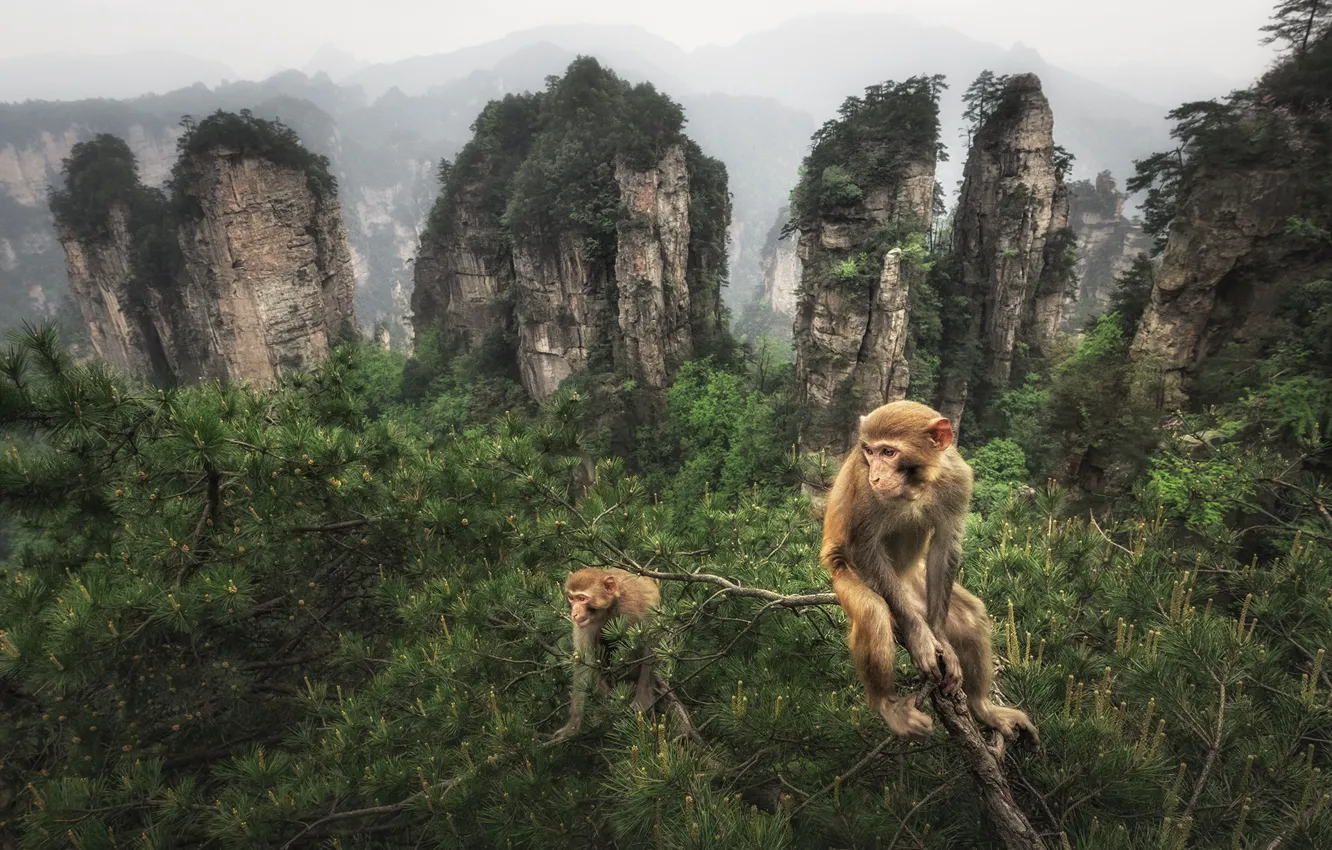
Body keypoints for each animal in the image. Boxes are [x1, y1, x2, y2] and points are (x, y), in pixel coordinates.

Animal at [551, 567, 661, 741]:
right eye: (571, 598)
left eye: (582, 598)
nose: (574, 613)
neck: (611, 606)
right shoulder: (586, 624)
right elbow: (583, 661)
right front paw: (573, 725)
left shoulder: (636, 608)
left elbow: (649, 645)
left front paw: (642, 700)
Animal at [821, 400, 1036, 741]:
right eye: (869, 451)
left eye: (889, 452)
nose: (877, 476)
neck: (916, 483)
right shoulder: (864, 485)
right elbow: (865, 547)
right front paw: (920, 635)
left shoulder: (958, 478)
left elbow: (945, 545)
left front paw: (939, 638)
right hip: (850, 577)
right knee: (872, 610)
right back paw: (887, 705)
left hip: (914, 583)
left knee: (971, 615)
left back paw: (982, 708)